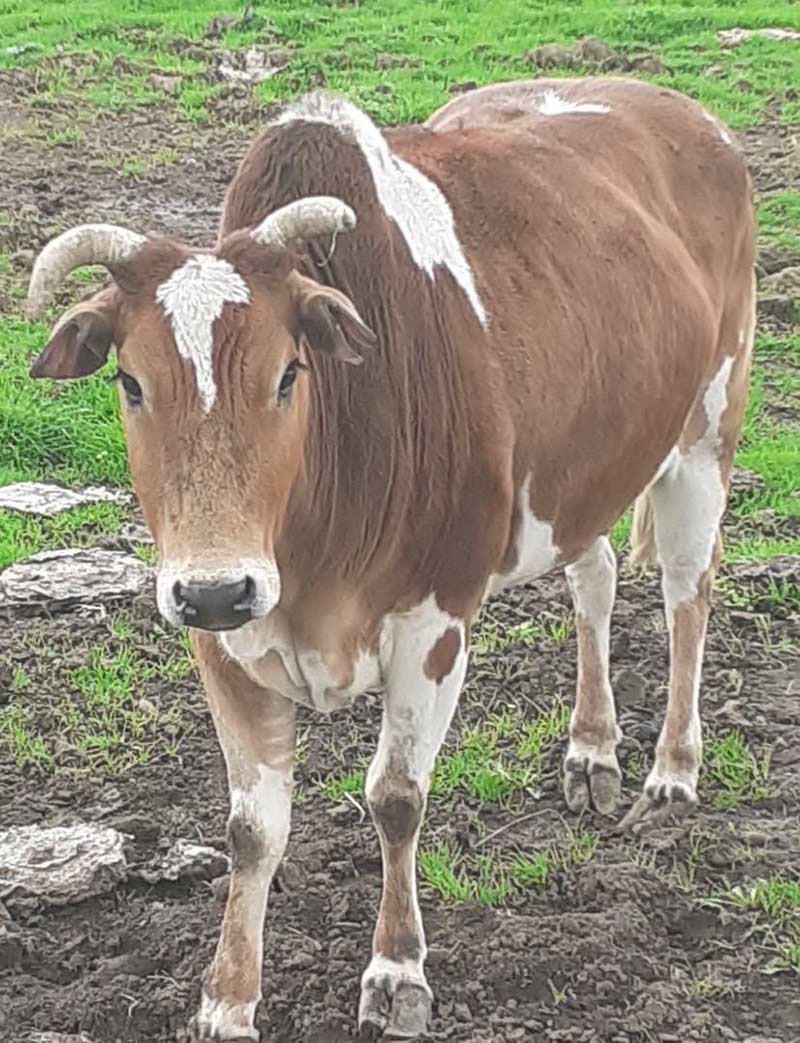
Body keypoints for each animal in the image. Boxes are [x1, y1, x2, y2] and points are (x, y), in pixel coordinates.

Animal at [28, 77, 759, 1038]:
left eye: (288, 373)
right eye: (129, 381)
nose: (220, 587)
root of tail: (679, 109)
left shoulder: (434, 622)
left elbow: (396, 796)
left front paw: (397, 968)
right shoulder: (219, 637)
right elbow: (251, 829)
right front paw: (226, 999)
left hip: (708, 429)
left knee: (686, 593)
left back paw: (671, 773)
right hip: (585, 468)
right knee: (593, 577)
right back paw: (591, 750)